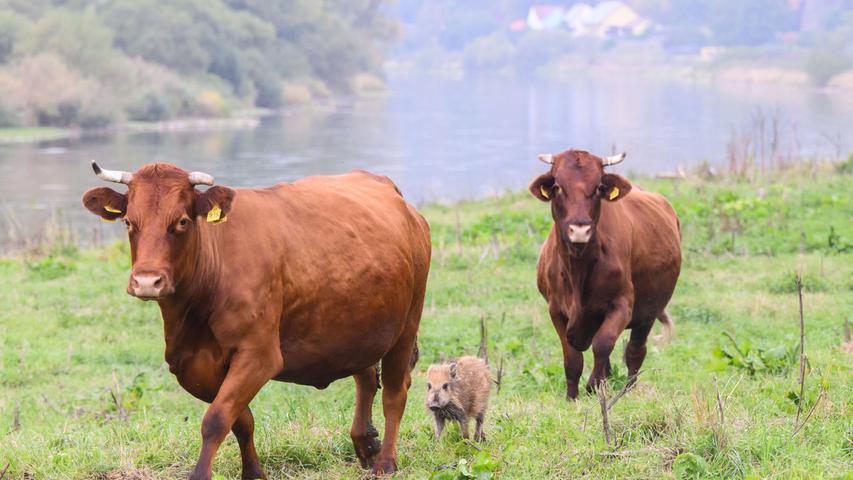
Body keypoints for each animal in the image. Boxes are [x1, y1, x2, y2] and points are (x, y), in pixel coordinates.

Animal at [81, 163, 432, 478]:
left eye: (181, 221)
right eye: (129, 221)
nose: (146, 281)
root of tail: (386, 186)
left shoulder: (259, 355)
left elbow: (216, 419)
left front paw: (201, 474)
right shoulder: (191, 363)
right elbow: (241, 419)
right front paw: (253, 472)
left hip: (407, 323)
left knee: (394, 391)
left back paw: (386, 461)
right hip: (360, 325)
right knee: (365, 376)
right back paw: (365, 443)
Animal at [528, 149, 684, 398]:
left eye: (598, 187)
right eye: (558, 186)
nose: (579, 229)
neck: (578, 269)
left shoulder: (622, 303)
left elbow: (603, 344)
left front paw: (594, 385)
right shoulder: (556, 309)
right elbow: (572, 357)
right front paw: (571, 396)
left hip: (649, 311)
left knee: (635, 351)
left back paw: (627, 388)